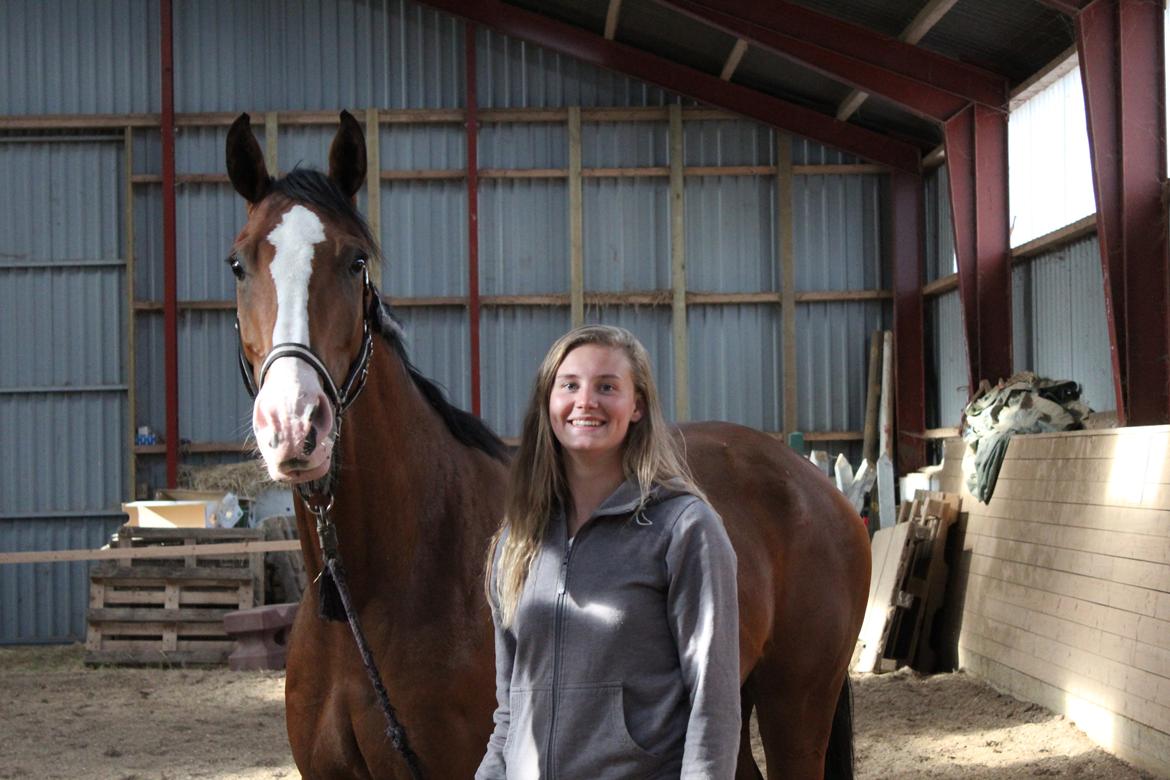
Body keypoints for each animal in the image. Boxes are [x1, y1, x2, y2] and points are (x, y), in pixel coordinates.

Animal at [225, 111, 870, 780]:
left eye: (355, 262)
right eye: (239, 264)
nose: (295, 424)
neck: (376, 590)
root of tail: (814, 483)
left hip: (795, 710)